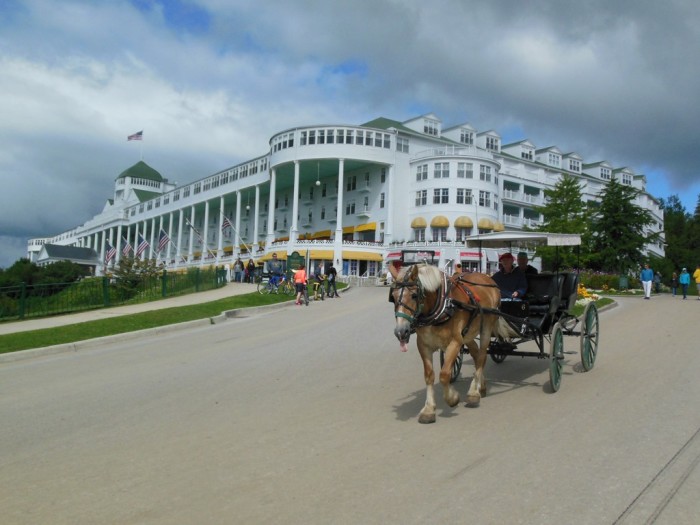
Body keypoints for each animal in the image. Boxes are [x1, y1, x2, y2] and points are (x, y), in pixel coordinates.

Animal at [392, 264, 500, 424]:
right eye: (392, 297)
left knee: (481, 357)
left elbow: (444, 374)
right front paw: (429, 410)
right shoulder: (423, 345)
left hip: (486, 325)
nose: (401, 332)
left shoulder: (455, 342)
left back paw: (474, 393)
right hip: (468, 334)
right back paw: (481, 386)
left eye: (414, 295)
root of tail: (487, 277)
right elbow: (429, 375)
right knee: (476, 354)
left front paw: (452, 398)